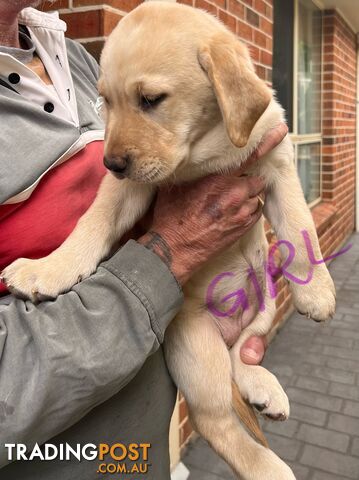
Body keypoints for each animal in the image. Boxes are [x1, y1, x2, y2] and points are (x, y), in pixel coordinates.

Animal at [2, 1, 336, 478]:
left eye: (151, 100)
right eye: (106, 101)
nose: (112, 163)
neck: (207, 148)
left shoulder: (277, 164)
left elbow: (299, 226)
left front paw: (317, 292)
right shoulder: (127, 189)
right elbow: (93, 222)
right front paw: (49, 269)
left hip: (266, 303)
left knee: (243, 354)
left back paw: (263, 388)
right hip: (196, 348)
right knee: (215, 418)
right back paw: (269, 466)